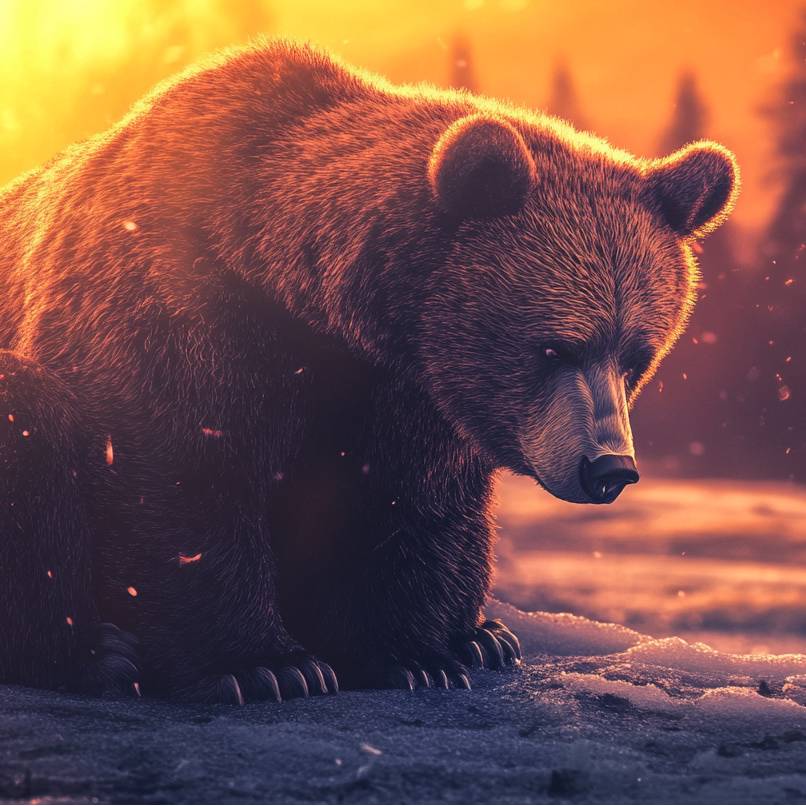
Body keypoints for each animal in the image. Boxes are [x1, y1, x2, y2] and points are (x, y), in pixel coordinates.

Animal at [0, 40, 738, 703]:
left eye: (636, 355)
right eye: (554, 348)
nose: (609, 467)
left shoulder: (408, 389)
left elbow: (404, 501)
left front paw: (414, 658)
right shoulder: (174, 300)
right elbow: (180, 473)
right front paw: (267, 668)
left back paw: (484, 636)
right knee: (32, 422)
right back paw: (97, 654)